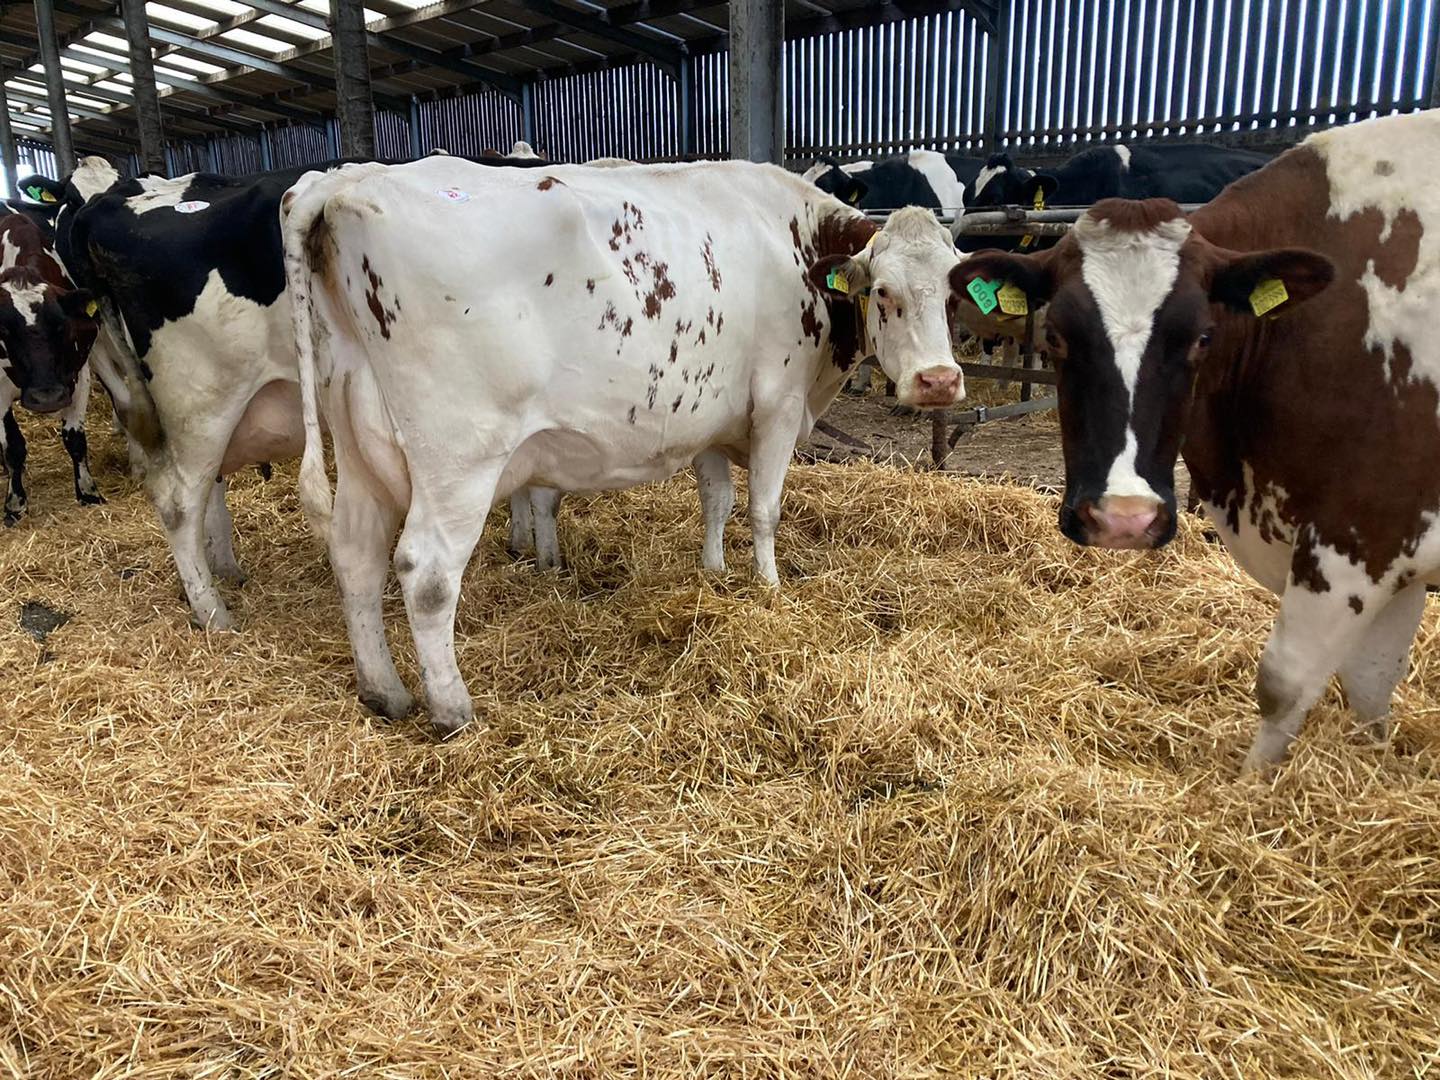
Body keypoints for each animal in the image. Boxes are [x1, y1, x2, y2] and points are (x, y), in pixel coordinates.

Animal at [0, 212, 104, 523]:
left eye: (61, 326)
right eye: (4, 330)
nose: (46, 397)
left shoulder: (77, 376)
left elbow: (75, 439)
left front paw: (88, 492)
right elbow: (13, 446)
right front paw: (15, 503)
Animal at [23, 150, 550, 630]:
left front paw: (525, 542)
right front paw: (541, 554)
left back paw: (224, 570)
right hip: (202, 399)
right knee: (178, 502)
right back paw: (214, 613)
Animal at [281, 159, 966, 734]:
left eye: (952, 293)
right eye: (882, 292)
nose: (938, 380)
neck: (792, 240)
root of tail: (345, 181)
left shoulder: (709, 417)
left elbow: (716, 500)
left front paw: (714, 572)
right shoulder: (777, 403)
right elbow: (763, 510)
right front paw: (769, 589)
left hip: (359, 442)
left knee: (355, 554)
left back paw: (383, 692)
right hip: (459, 457)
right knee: (425, 573)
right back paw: (452, 708)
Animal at [951, 108, 1440, 772]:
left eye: (1203, 337)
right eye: (1054, 334)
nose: (1123, 520)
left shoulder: (1365, 528)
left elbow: (1286, 682)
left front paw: (1255, 788)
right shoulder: (1392, 548)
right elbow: (1370, 683)